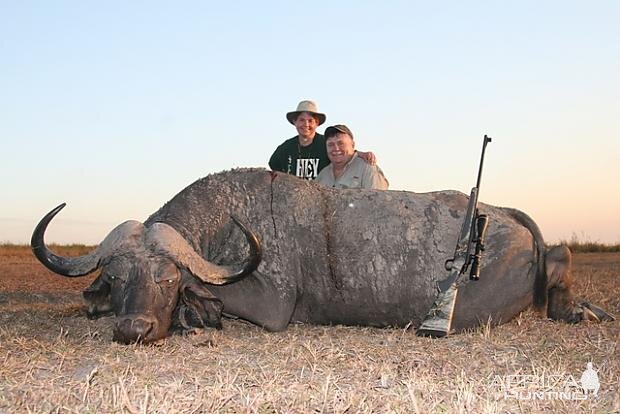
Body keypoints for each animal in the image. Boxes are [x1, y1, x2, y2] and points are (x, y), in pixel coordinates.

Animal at [31, 167, 612, 342]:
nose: (133, 330)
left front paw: (198, 315)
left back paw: (578, 310)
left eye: (169, 278)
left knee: (561, 256)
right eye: (117, 277)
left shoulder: (271, 306)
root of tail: (506, 216)